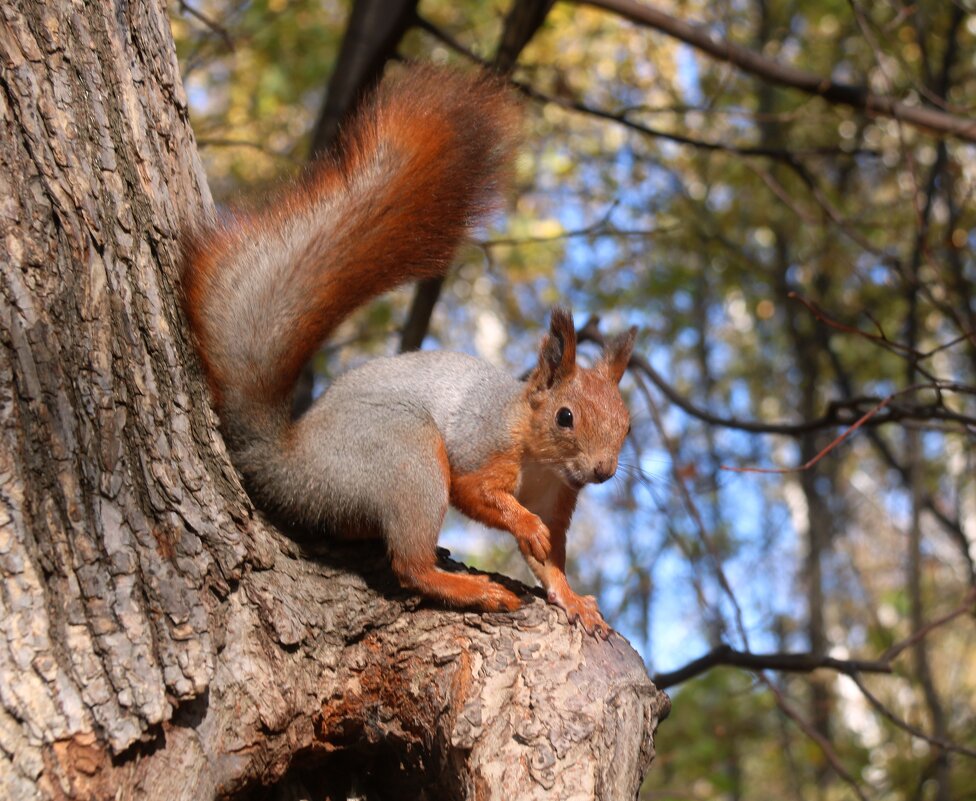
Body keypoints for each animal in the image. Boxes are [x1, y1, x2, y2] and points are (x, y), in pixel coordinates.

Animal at [181, 64, 640, 636]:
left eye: (627, 426)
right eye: (565, 416)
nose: (603, 470)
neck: (539, 459)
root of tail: (284, 463)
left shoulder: (559, 499)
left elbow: (549, 562)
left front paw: (573, 599)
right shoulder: (482, 449)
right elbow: (478, 494)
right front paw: (524, 525)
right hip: (405, 456)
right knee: (410, 564)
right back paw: (473, 589)